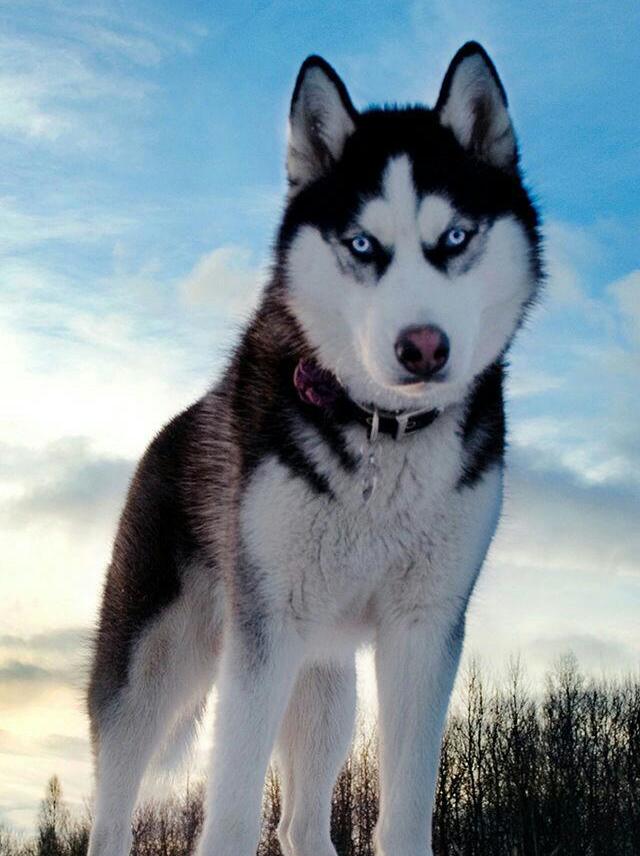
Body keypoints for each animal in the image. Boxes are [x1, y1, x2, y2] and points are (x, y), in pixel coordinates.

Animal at [87, 41, 541, 856]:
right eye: (363, 244)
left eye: (456, 237)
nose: (423, 347)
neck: (382, 429)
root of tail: (171, 428)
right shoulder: (264, 634)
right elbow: (230, 817)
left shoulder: (423, 631)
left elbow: (405, 813)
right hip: (154, 668)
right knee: (112, 812)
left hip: (327, 683)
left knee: (300, 823)